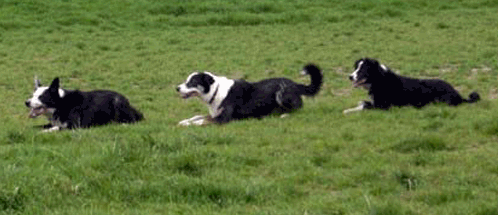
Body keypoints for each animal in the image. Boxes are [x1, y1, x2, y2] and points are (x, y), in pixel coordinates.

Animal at [175, 63, 322, 126]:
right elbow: (197, 116)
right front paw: (184, 121)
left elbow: (201, 121)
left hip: (282, 93)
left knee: (296, 110)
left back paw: (283, 115)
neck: (215, 91)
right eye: (186, 80)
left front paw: (186, 125)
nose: (177, 88)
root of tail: (295, 84)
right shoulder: (215, 114)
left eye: (192, 82)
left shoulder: (223, 119)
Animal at [344, 57, 480, 114]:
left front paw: (348, 111)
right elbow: (362, 103)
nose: (350, 76)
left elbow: (364, 106)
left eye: (362, 70)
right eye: (356, 68)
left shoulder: (383, 106)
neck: (379, 80)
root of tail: (457, 93)